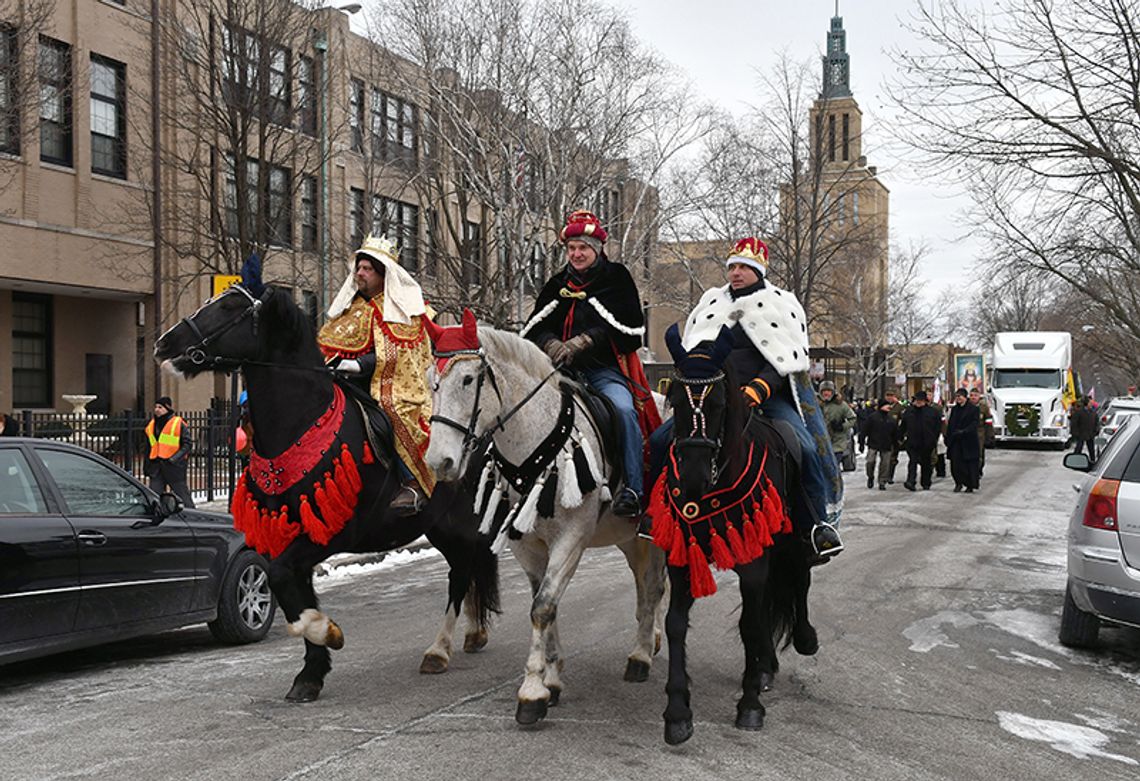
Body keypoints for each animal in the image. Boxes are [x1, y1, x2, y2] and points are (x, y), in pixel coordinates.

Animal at [428, 314, 665, 729]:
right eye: (432, 381)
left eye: (469, 379)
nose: (439, 461)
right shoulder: (525, 543)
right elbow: (544, 604)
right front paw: (551, 679)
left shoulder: (571, 538)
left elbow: (542, 607)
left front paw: (531, 693)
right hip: (627, 537)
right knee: (644, 587)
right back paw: (647, 642)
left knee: (653, 587)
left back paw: (640, 656)